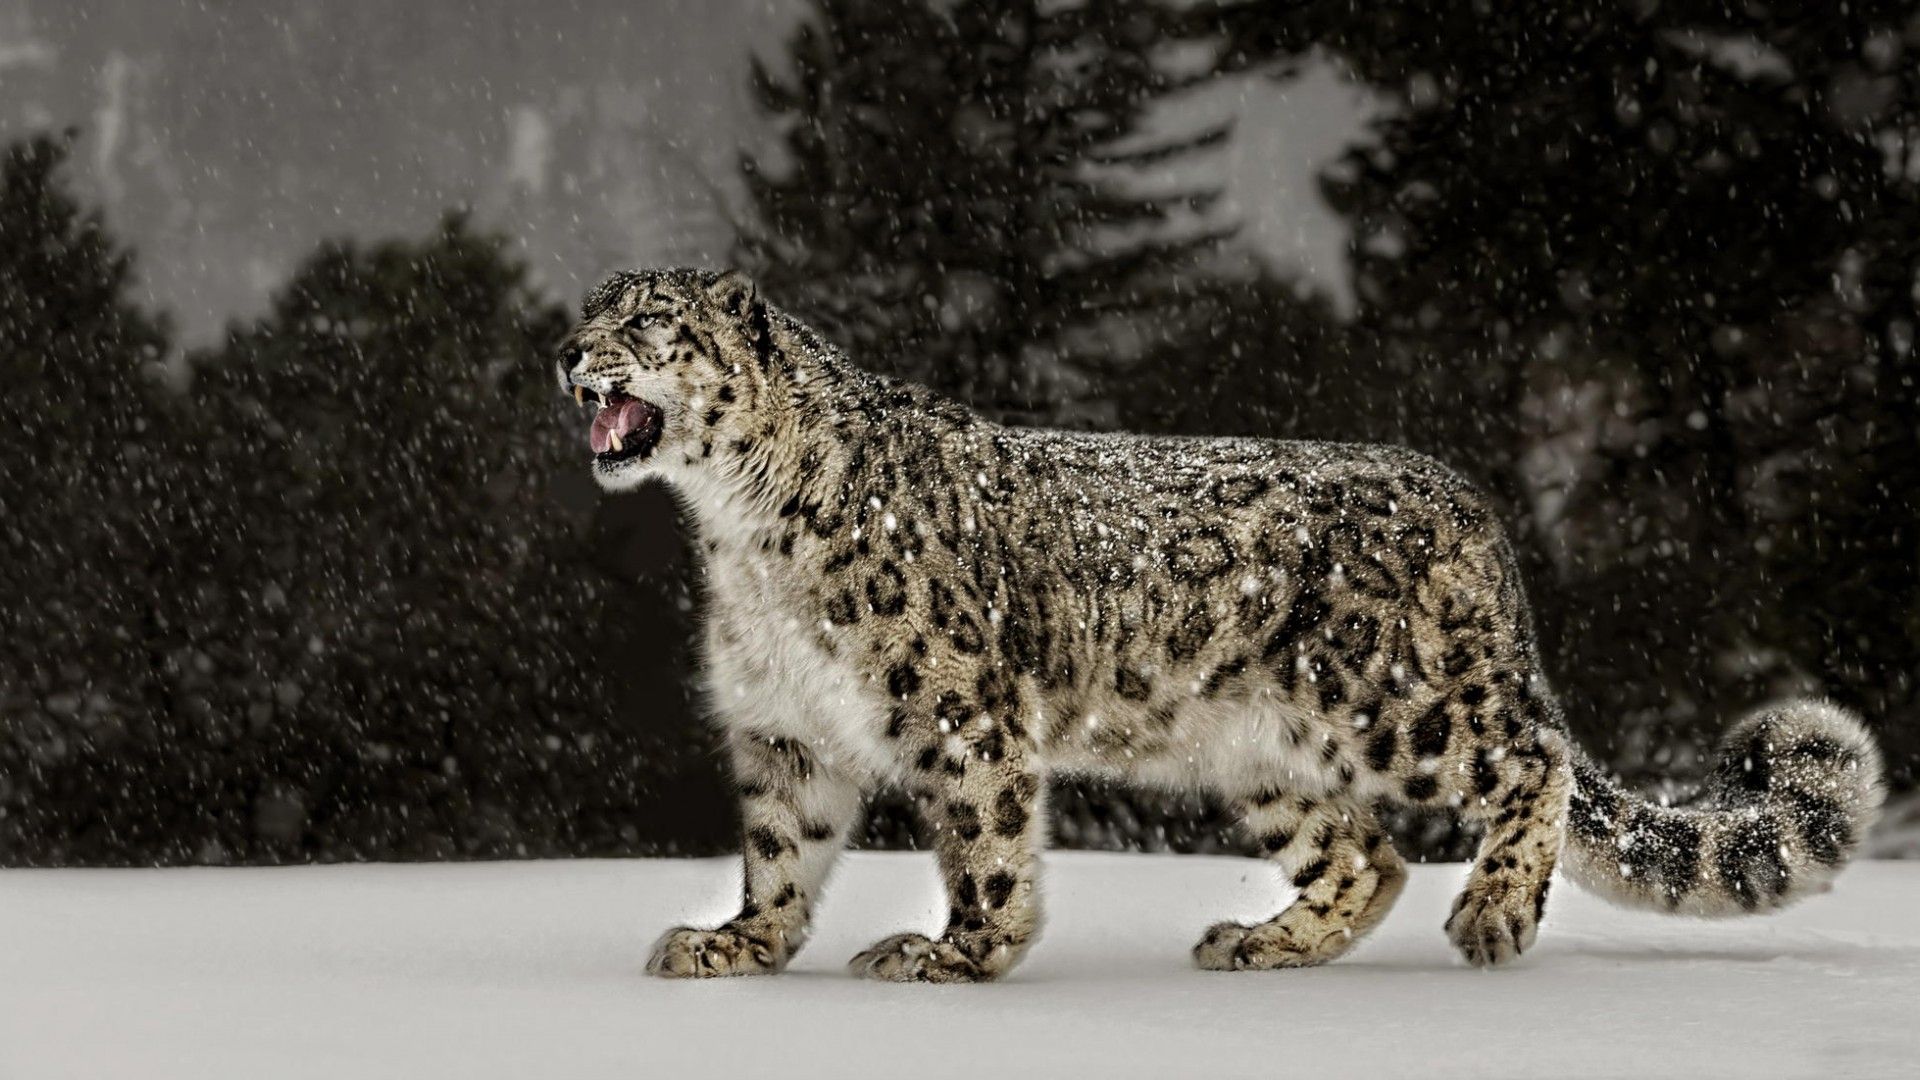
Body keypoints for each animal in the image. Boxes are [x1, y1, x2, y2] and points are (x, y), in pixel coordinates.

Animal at [554, 267, 1885, 983]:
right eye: (590, 310)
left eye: (648, 321)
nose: (566, 349)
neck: (736, 535)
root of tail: (1469, 504)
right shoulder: (783, 727)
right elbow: (782, 852)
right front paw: (735, 945)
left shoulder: (957, 707)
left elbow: (983, 846)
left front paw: (954, 955)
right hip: (1261, 752)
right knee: (1365, 854)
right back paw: (1262, 942)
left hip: (1404, 702)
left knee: (1533, 761)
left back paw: (1496, 909)